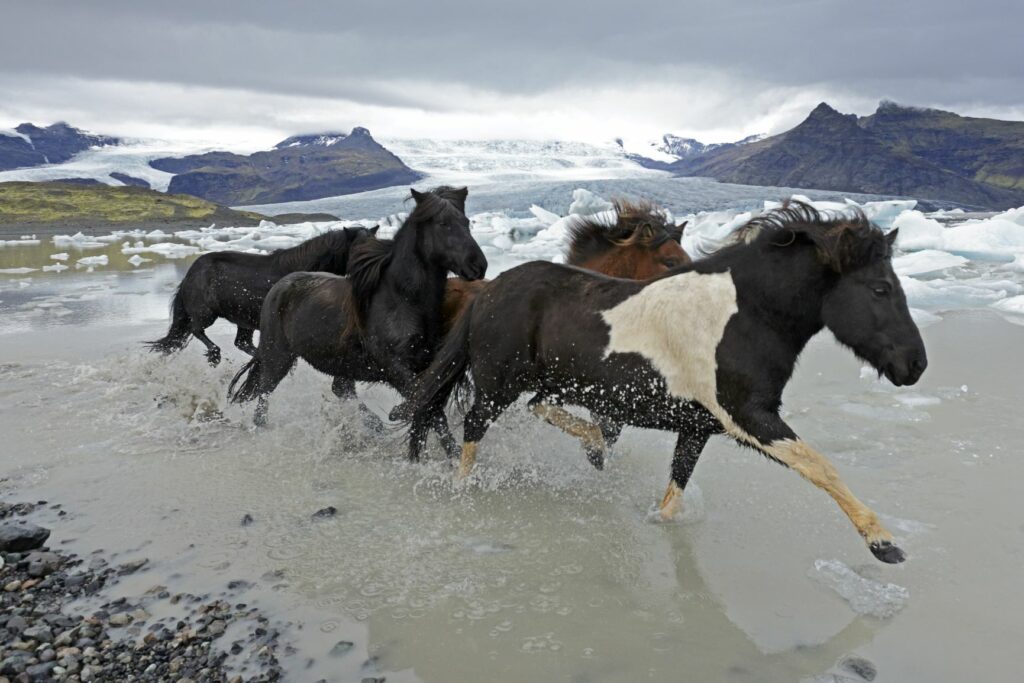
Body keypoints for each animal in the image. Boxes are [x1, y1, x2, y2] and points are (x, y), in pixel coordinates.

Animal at [146, 224, 378, 366]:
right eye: (358, 249)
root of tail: (189, 274)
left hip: (243, 320)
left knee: (241, 343)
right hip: (206, 313)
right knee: (198, 330)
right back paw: (214, 355)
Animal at [228, 185, 487, 444]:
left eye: (466, 222)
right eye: (443, 224)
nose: (479, 265)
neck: (401, 299)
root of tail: (280, 286)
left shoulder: (423, 366)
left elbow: (433, 412)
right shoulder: (395, 369)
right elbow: (427, 408)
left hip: (339, 364)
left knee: (340, 389)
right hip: (278, 357)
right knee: (264, 395)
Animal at [405, 200, 929, 565]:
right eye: (880, 288)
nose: (916, 365)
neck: (745, 315)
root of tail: (491, 289)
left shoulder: (698, 427)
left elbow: (675, 492)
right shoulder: (748, 418)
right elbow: (820, 466)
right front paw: (884, 544)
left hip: (556, 384)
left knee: (540, 410)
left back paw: (591, 447)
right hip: (498, 387)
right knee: (472, 428)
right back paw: (464, 488)